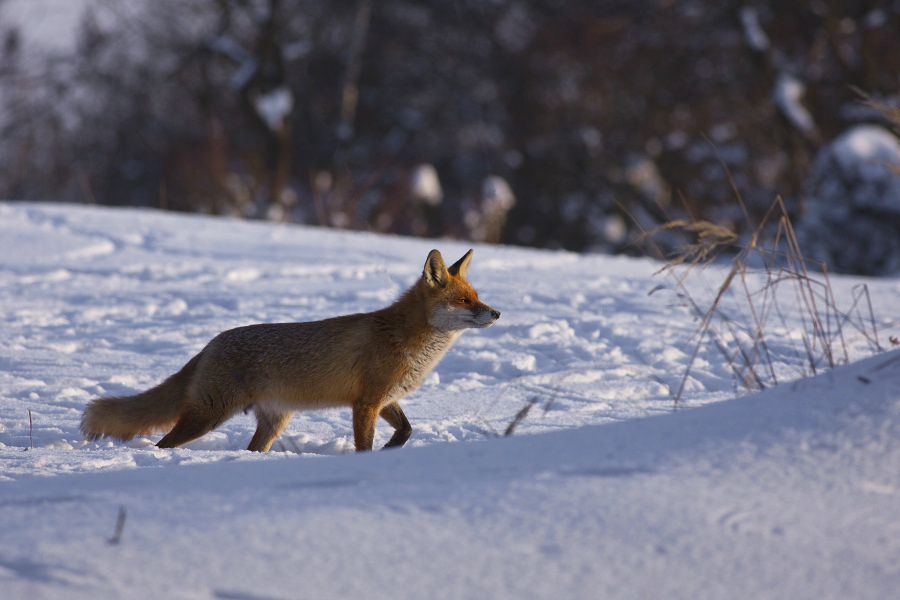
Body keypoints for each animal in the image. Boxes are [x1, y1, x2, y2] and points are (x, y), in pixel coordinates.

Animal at [79, 248, 500, 450]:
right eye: (464, 301)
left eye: (477, 296)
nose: (496, 312)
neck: (408, 341)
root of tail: (211, 343)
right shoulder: (365, 403)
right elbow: (365, 445)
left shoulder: (385, 399)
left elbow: (407, 431)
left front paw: (392, 450)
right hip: (208, 416)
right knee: (165, 442)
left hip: (273, 422)